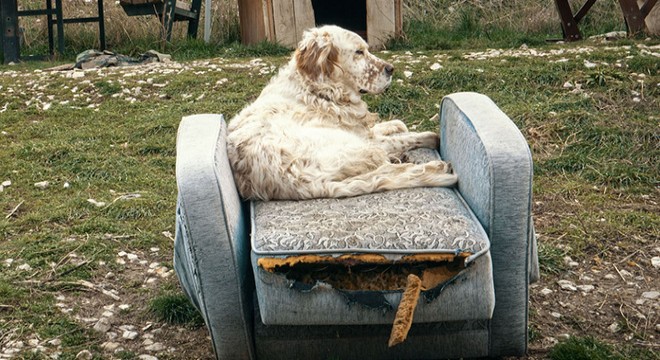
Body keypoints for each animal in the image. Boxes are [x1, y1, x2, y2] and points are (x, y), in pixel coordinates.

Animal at [224, 25, 456, 200]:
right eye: (359, 52)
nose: (391, 69)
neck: (318, 91)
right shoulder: (368, 139)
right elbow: (413, 137)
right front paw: (430, 137)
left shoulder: (361, 130)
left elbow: (390, 126)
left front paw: (394, 124)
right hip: (364, 149)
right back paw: (434, 166)